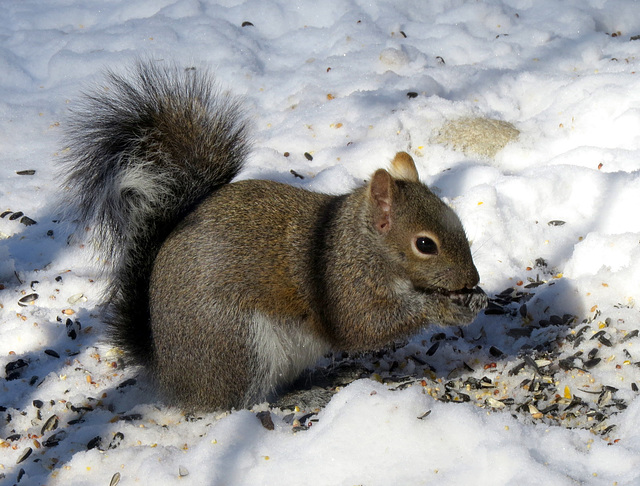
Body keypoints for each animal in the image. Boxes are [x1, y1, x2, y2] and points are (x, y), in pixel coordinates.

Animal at [62, 59, 488, 410]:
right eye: (424, 245)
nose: (473, 278)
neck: (360, 244)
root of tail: (169, 373)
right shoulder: (340, 286)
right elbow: (363, 327)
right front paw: (444, 309)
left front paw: (476, 299)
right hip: (239, 344)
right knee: (244, 401)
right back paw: (301, 397)